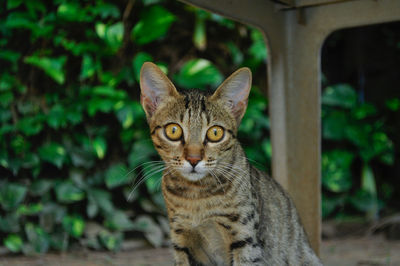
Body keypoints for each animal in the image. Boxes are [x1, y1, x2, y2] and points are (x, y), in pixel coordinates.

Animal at [140, 61, 322, 264]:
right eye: (173, 130)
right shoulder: (181, 239)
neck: (197, 197)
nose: (194, 159)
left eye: (215, 133)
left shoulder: (245, 240)